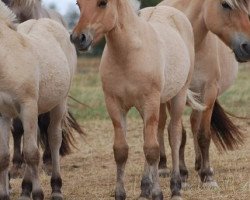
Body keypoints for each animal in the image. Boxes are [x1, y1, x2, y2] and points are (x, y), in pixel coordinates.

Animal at [71, 0, 204, 200]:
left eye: (103, 3)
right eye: (78, 4)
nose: (78, 38)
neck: (130, 54)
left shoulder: (150, 102)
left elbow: (152, 150)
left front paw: (157, 193)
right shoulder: (114, 105)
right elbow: (121, 151)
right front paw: (121, 193)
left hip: (177, 97)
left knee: (174, 136)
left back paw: (175, 187)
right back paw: (144, 188)